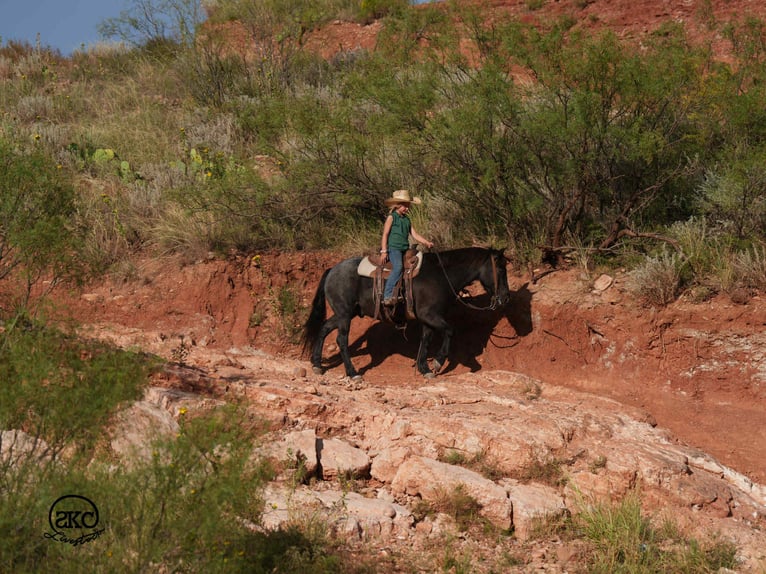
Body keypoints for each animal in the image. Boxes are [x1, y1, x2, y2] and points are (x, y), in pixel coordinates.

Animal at [302, 247, 511, 380]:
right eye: (501, 270)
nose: (506, 297)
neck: (440, 275)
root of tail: (332, 270)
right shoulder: (430, 315)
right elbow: (450, 331)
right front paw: (437, 363)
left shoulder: (428, 319)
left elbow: (426, 340)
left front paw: (424, 368)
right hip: (344, 315)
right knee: (341, 340)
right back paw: (353, 373)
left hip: (343, 314)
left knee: (323, 329)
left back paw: (317, 364)